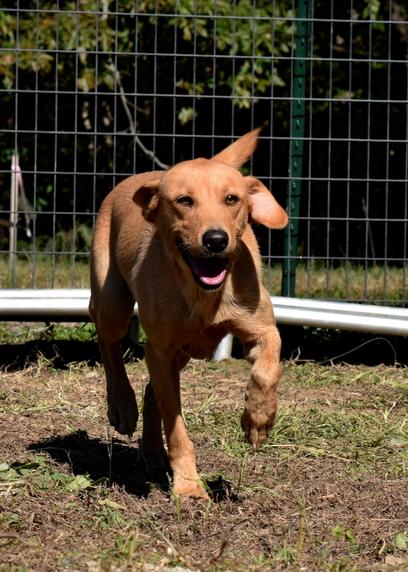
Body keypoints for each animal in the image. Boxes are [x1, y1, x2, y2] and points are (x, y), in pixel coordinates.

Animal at [89, 128, 286, 496]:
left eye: (232, 199)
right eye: (184, 201)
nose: (215, 239)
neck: (203, 296)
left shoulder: (262, 328)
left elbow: (267, 370)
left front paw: (258, 420)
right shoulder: (159, 349)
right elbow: (177, 427)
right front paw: (189, 488)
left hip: (183, 351)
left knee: (152, 389)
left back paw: (152, 450)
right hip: (113, 302)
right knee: (108, 341)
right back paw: (122, 405)